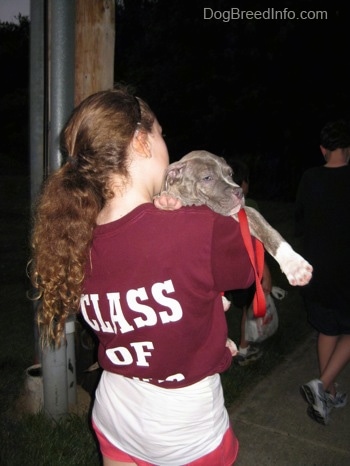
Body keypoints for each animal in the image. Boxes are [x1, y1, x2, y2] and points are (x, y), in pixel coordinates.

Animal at [163, 151, 314, 286]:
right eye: (207, 178)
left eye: (230, 174)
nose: (240, 191)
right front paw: (167, 200)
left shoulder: (245, 212)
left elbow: (268, 231)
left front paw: (294, 264)